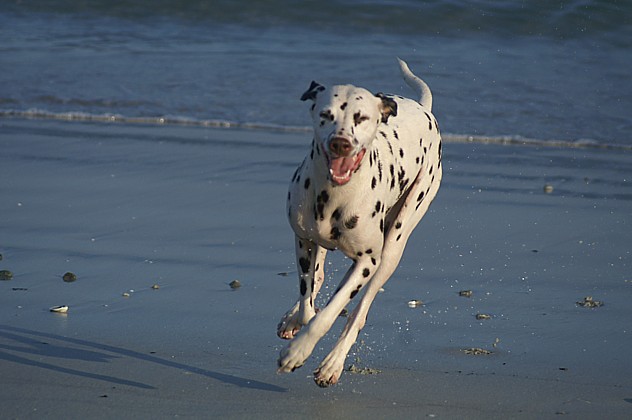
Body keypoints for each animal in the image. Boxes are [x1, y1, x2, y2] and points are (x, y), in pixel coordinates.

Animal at [276, 57, 444, 386]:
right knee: (320, 278)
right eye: (326, 115)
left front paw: (298, 351)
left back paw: (333, 364)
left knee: (358, 313)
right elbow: (308, 303)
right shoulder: (304, 240)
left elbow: (329, 314)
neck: (334, 195)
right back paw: (292, 318)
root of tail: (423, 107)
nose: (340, 143)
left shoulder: (368, 261)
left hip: (393, 248)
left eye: (361, 117)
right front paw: (299, 324)